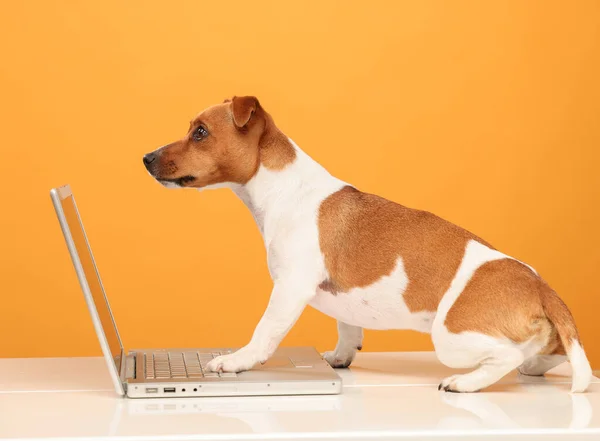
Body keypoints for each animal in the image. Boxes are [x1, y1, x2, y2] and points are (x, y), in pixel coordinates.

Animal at [143, 96, 592, 392]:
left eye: (200, 133)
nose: (146, 158)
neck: (282, 187)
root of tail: (541, 287)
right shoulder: (340, 295)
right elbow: (347, 329)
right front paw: (342, 358)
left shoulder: (289, 290)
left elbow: (264, 331)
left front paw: (236, 361)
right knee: (549, 352)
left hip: (450, 335)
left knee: (506, 357)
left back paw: (464, 383)